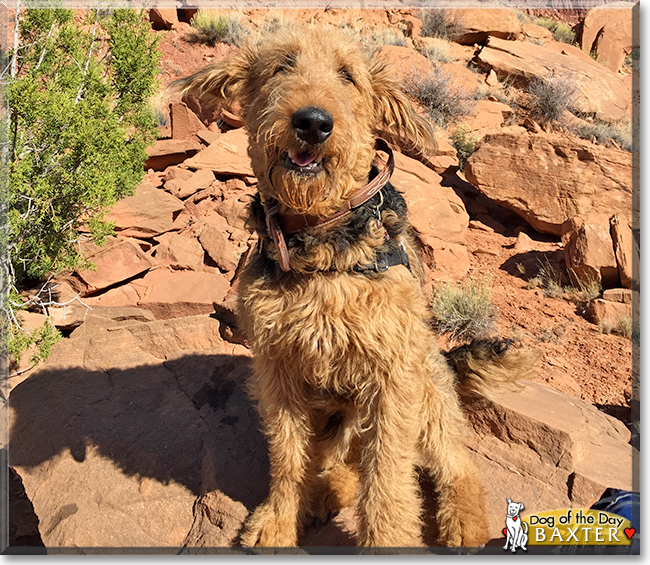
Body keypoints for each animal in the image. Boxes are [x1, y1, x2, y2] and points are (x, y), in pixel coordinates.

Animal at [170, 25, 536, 548]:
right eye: (281, 66)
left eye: (348, 75)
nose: (312, 122)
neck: (321, 245)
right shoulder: (279, 369)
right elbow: (288, 457)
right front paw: (278, 521)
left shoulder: (391, 377)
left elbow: (388, 481)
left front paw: (388, 540)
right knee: (342, 461)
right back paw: (326, 491)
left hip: (426, 387)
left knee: (452, 464)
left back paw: (463, 526)